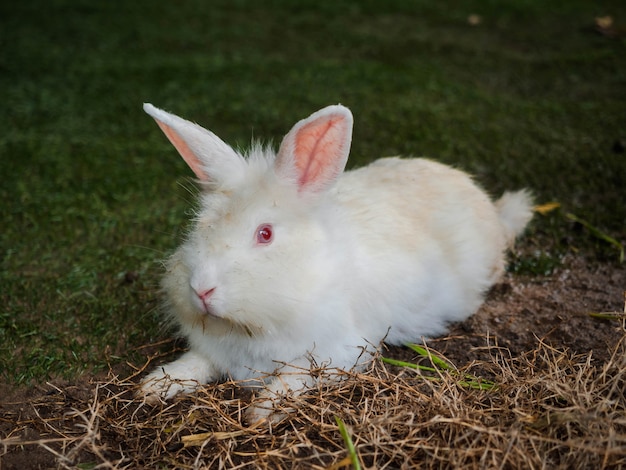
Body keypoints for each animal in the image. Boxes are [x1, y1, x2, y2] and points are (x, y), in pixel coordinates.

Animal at [139, 103, 528, 422]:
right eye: (200, 227)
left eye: (265, 233)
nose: (202, 291)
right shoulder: (212, 350)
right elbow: (195, 363)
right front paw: (153, 387)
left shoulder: (340, 352)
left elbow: (294, 374)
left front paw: (262, 411)